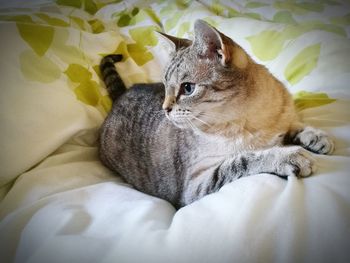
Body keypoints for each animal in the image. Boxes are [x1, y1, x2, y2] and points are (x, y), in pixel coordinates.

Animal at [98, 20, 334, 210]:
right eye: (165, 87)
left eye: (187, 88)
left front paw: (317, 138)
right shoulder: (196, 184)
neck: (257, 119)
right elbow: (243, 160)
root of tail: (121, 94)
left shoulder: (284, 117)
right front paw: (288, 156)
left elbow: (295, 125)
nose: (164, 108)